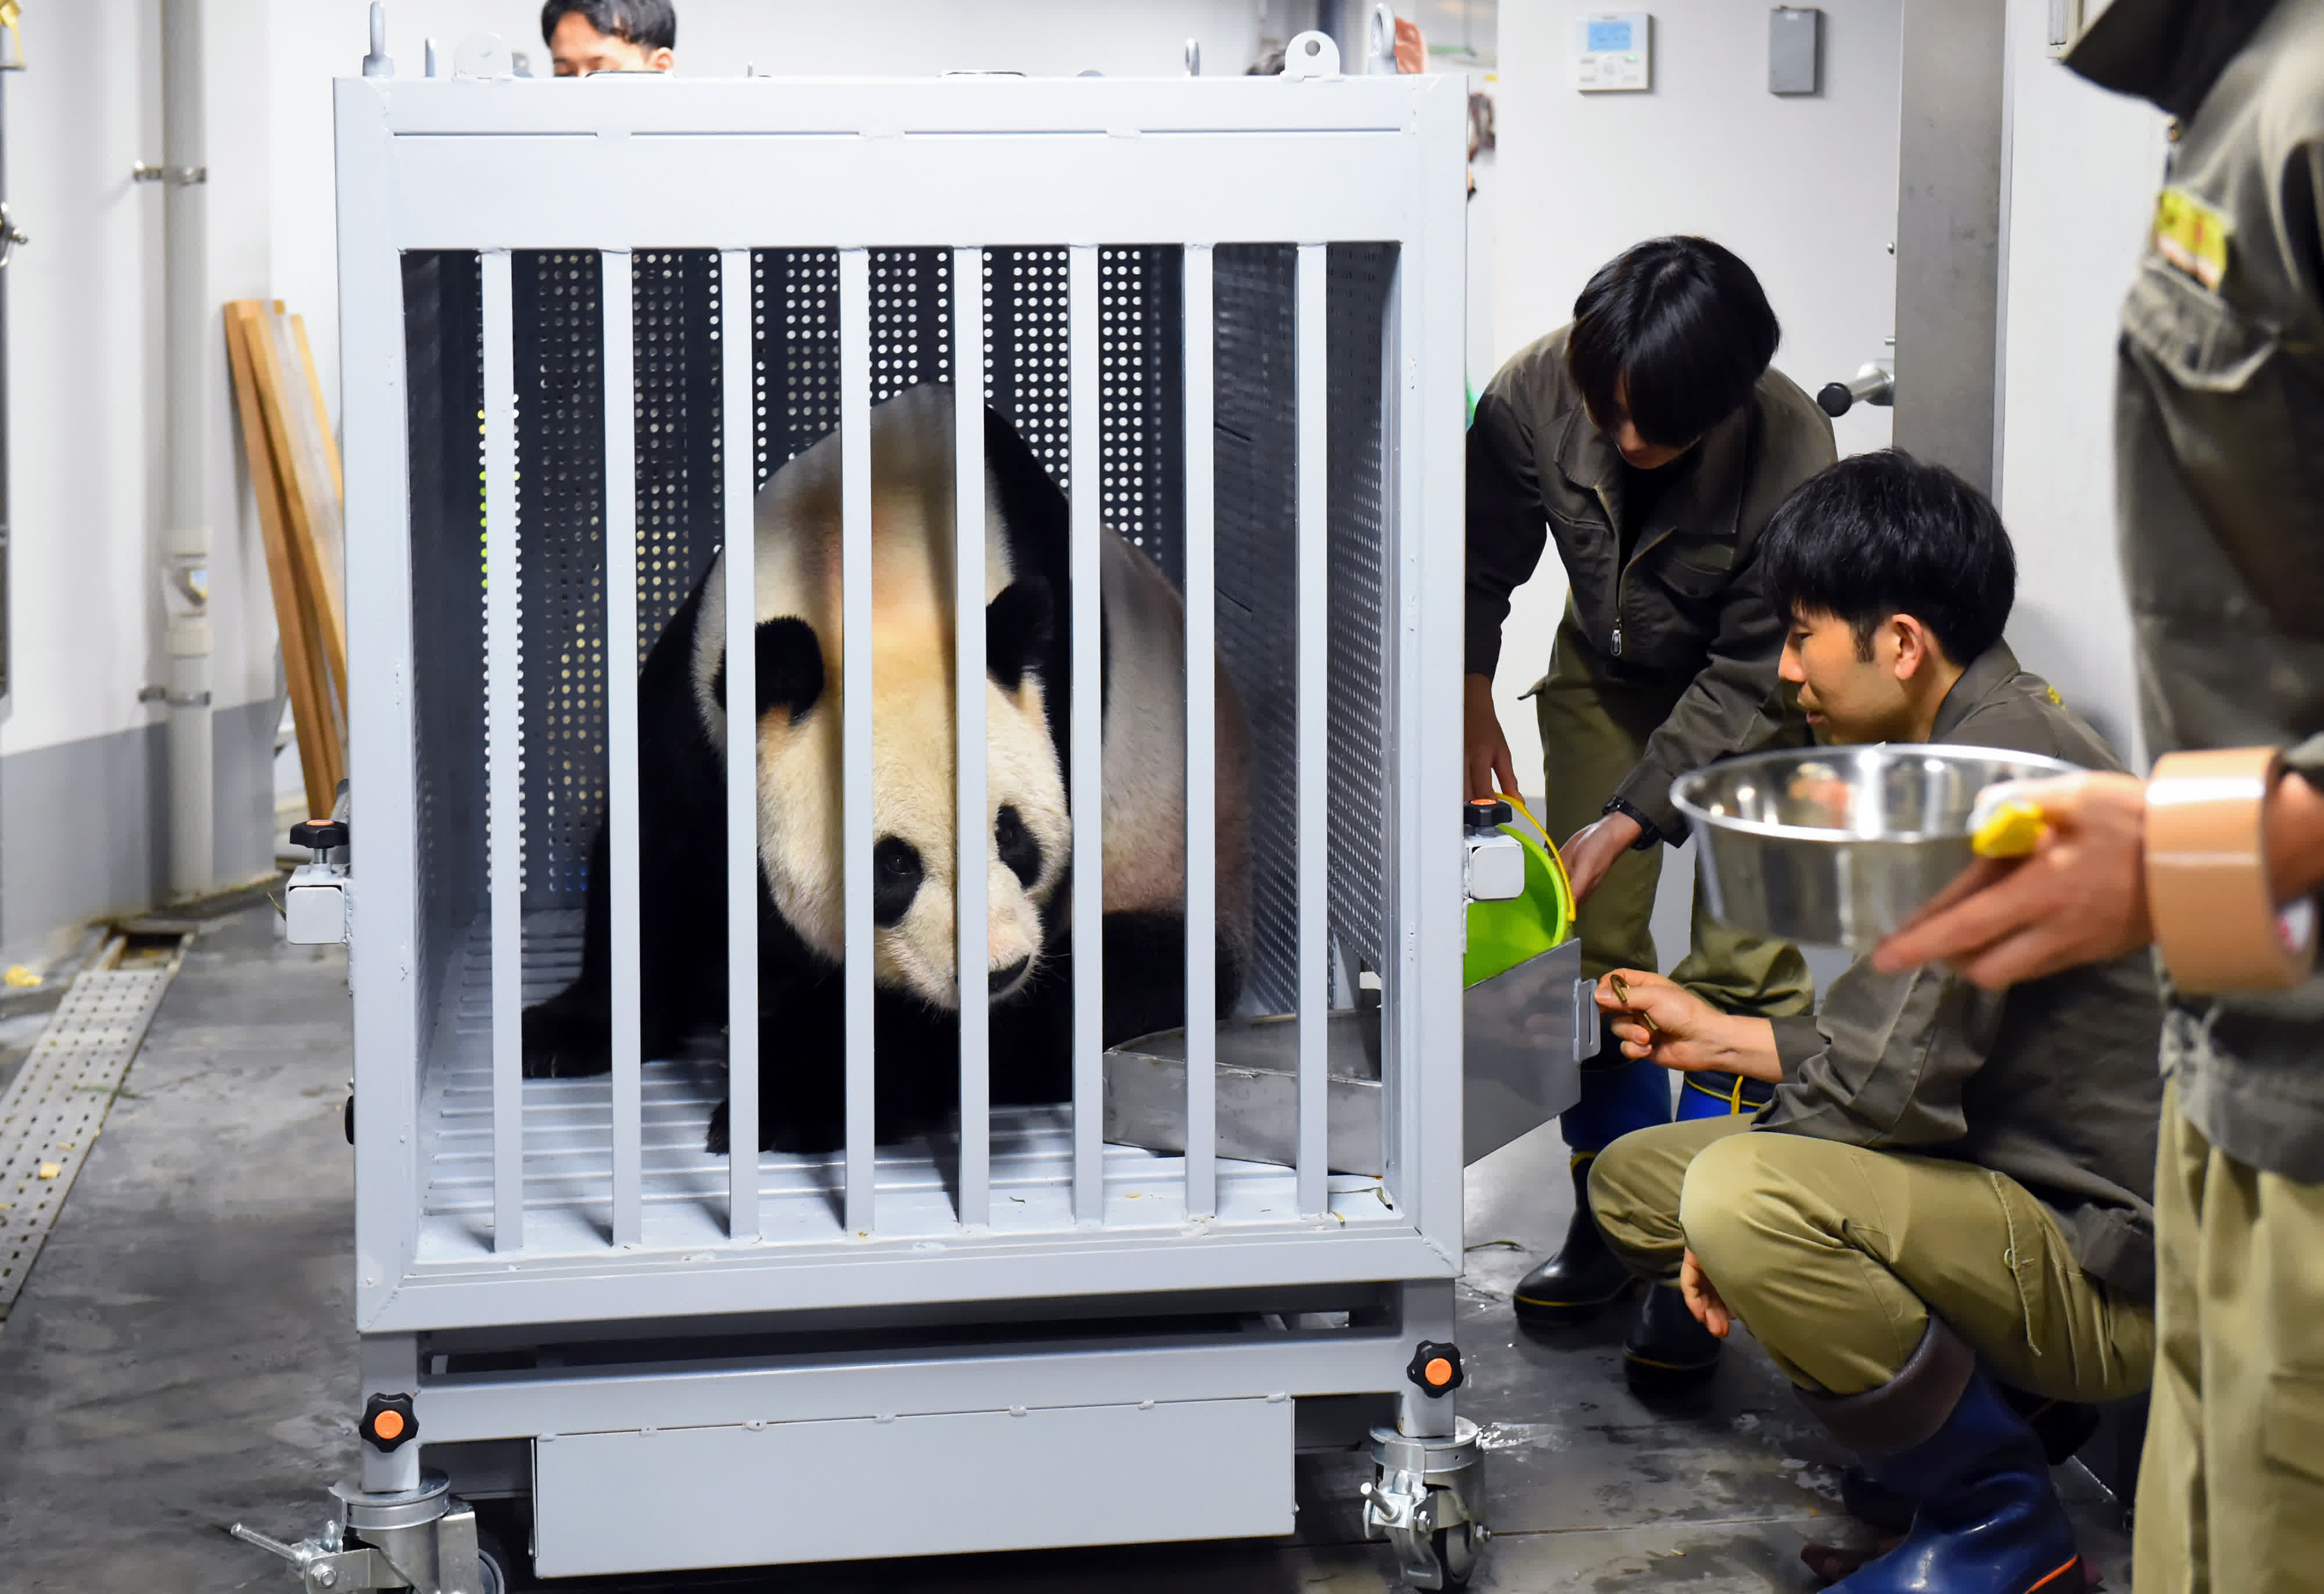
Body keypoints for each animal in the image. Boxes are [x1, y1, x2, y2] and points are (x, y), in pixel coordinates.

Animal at [528, 388, 1255, 1162]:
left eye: (1012, 835)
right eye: (893, 865)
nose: (999, 969)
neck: (876, 571)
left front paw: (797, 1089)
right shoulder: (706, 686)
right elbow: (658, 841)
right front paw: (569, 1030)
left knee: (1117, 983)